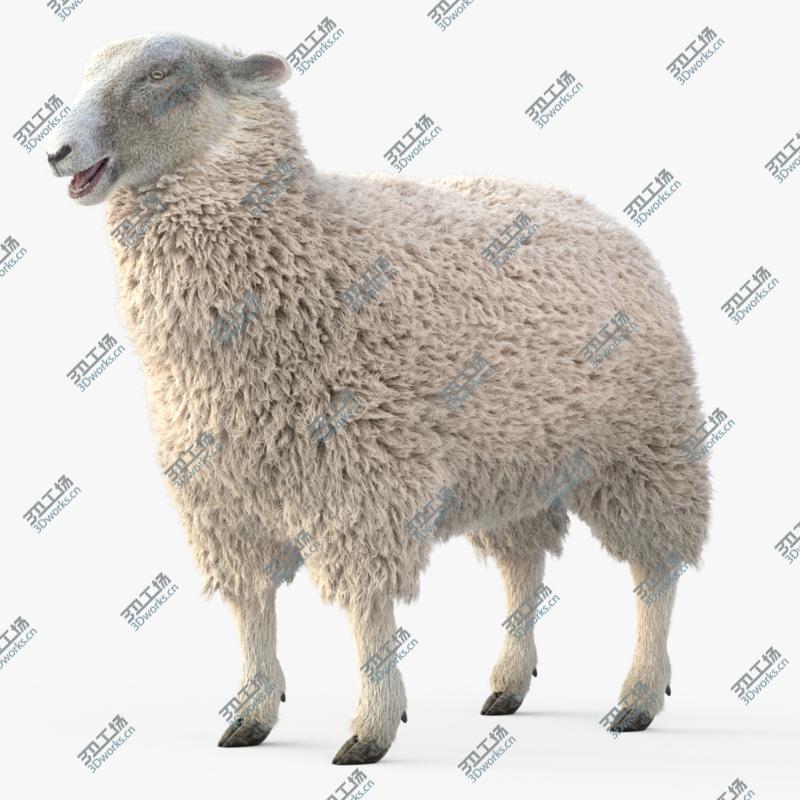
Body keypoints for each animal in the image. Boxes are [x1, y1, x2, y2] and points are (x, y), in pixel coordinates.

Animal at [47, 33, 711, 764]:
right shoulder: (222, 494)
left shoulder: (364, 480)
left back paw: (638, 696)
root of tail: (592, 207)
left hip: (646, 445)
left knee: (656, 572)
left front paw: (372, 727)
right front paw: (252, 713)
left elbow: (367, 611)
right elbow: (251, 607)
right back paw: (509, 683)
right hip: (515, 456)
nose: (56, 151)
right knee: (524, 562)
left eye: (160, 74)